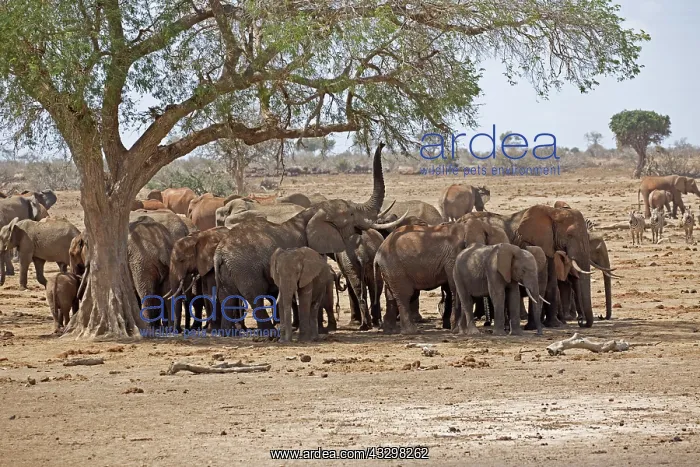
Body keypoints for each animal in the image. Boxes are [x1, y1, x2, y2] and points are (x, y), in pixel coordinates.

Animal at [213, 143, 406, 331]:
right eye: (351, 214)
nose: (382, 143)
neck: (311, 212)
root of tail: (219, 255)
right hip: (245, 269)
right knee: (255, 296)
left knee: (227, 298)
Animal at [375, 217, 510, 334]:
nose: (487, 323)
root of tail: (378, 252)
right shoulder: (454, 255)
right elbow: (456, 287)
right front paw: (457, 330)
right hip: (395, 267)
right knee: (404, 295)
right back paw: (411, 331)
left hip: (390, 269)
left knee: (391, 296)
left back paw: (390, 330)